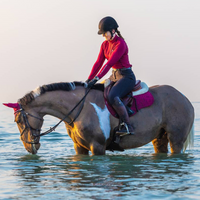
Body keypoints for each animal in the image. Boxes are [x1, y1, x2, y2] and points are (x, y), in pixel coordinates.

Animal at [3, 81, 194, 155]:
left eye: (18, 121)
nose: (30, 147)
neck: (80, 107)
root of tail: (185, 99)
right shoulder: (79, 147)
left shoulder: (98, 147)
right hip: (159, 138)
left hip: (176, 140)